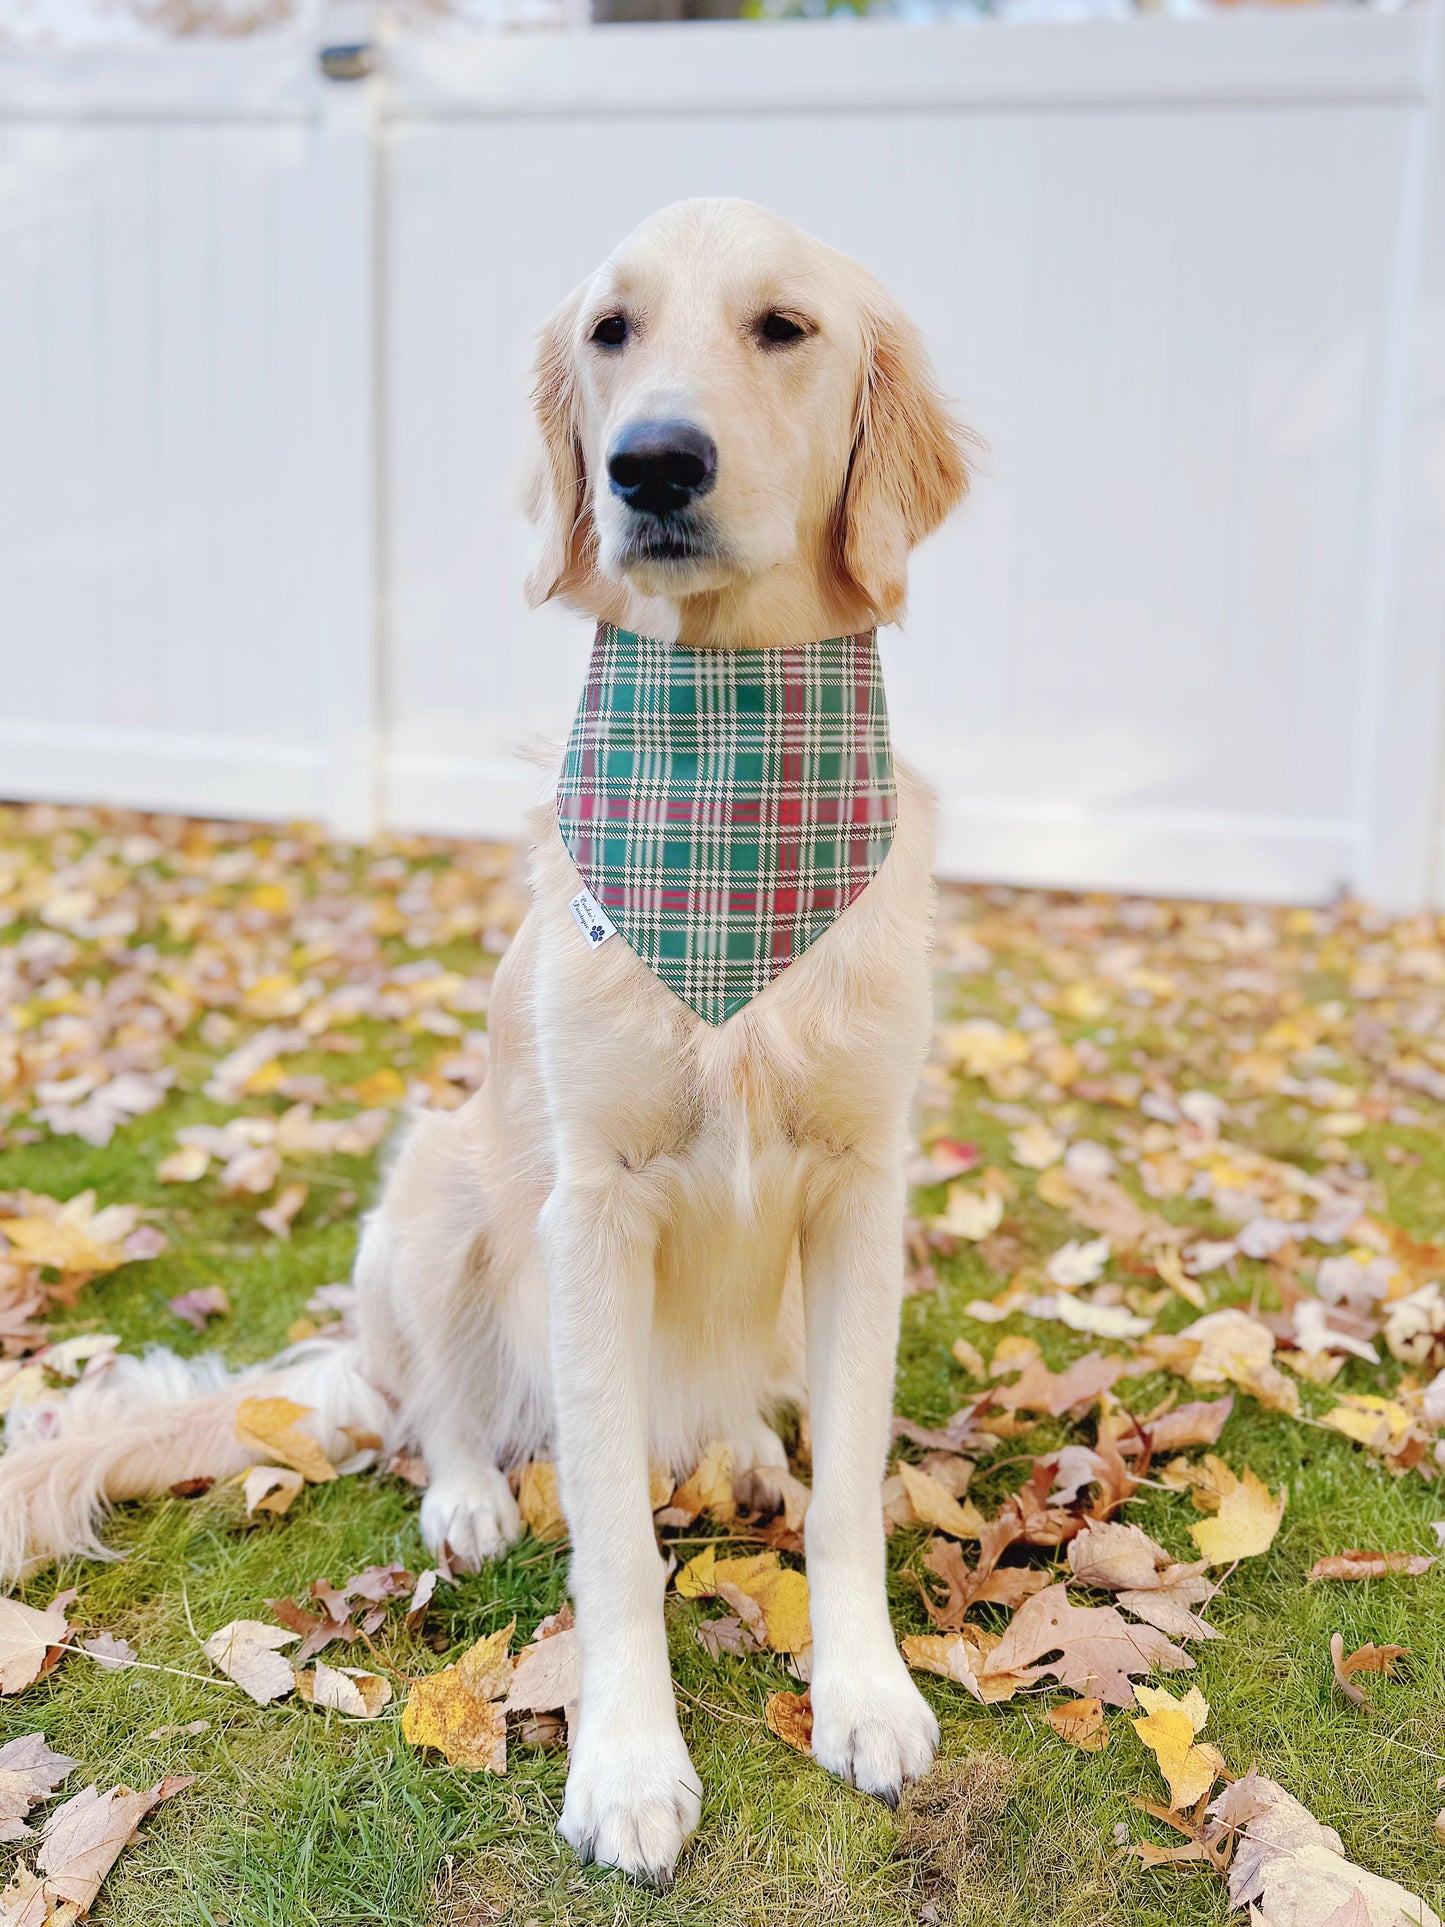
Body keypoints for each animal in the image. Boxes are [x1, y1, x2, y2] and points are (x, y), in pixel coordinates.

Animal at [2, 195, 974, 1880]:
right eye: (610, 332)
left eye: (782, 327)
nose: (650, 463)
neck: (729, 763)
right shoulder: (590, 1204)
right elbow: (613, 1536)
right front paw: (631, 1763)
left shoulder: (861, 1186)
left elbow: (850, 1485)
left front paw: (862, 1691)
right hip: (437, 1187)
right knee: (441, 1411)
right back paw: (463, 1495)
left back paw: (744, 1445)